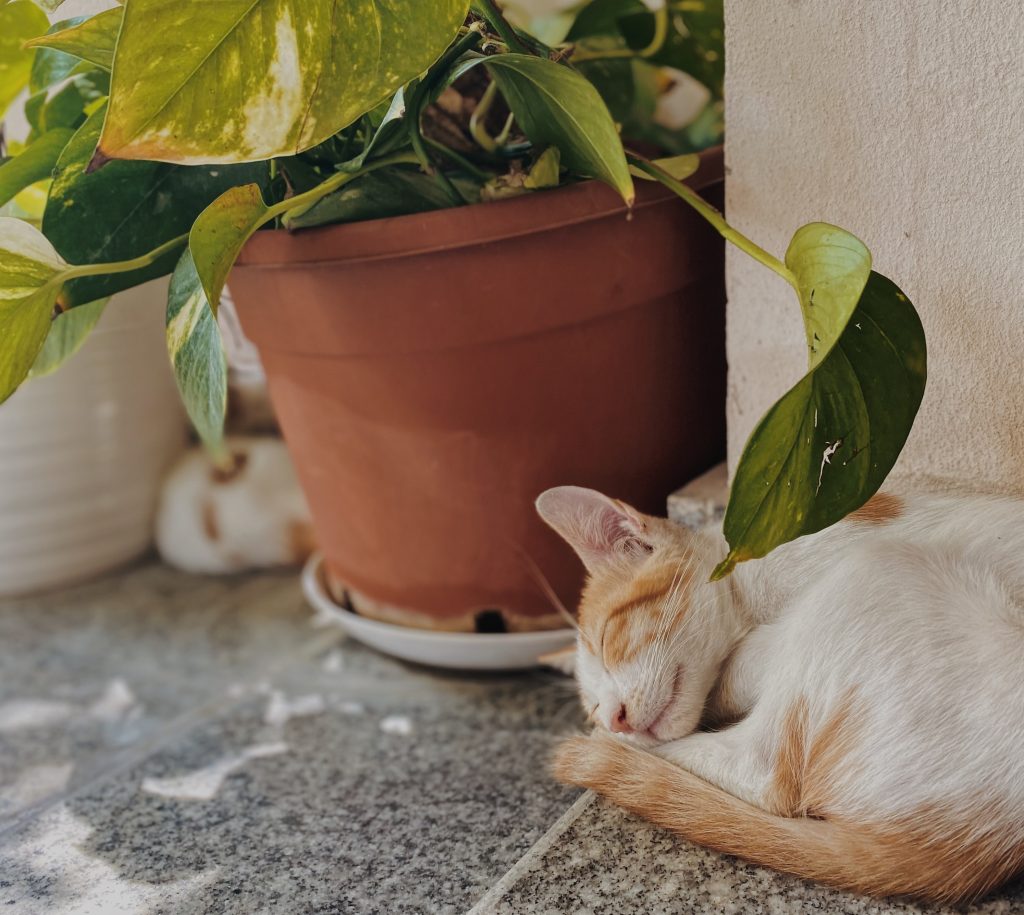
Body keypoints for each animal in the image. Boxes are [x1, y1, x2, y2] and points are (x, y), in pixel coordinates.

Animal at [536, 487, 1024, 900]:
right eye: (593, 705)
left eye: (606, 641)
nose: (612, 719)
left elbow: (741, 662)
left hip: (870, 568)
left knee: (763, 772)